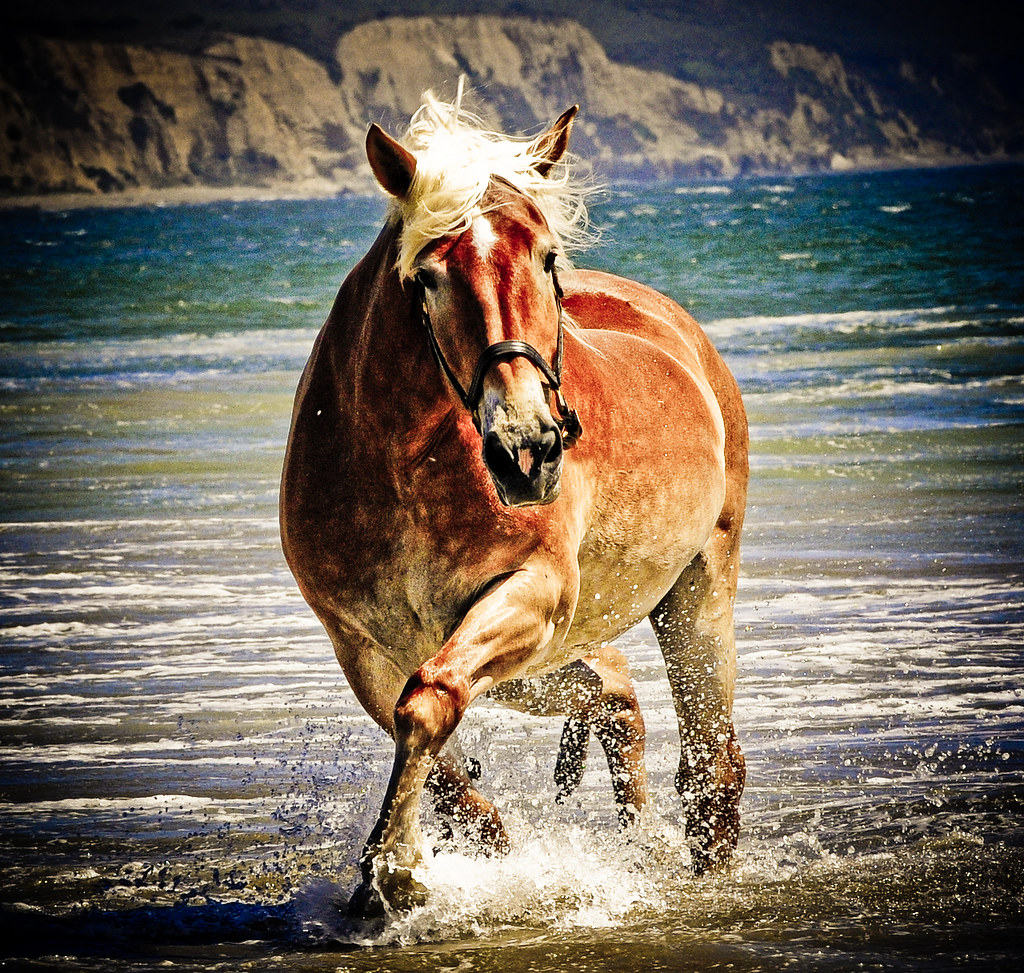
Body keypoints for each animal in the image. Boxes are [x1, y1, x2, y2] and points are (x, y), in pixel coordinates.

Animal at [280, 89, 748, 915]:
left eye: (547, 257)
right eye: (429, 274)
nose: (528, 449)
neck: (405, 463)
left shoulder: (529, 592)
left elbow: (428, 702)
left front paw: (394, 870)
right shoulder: (361, 645)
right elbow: (440, 763)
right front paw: (412, 870)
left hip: (696, 591)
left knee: (711, 766)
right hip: (548, 658)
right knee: (613, 694)